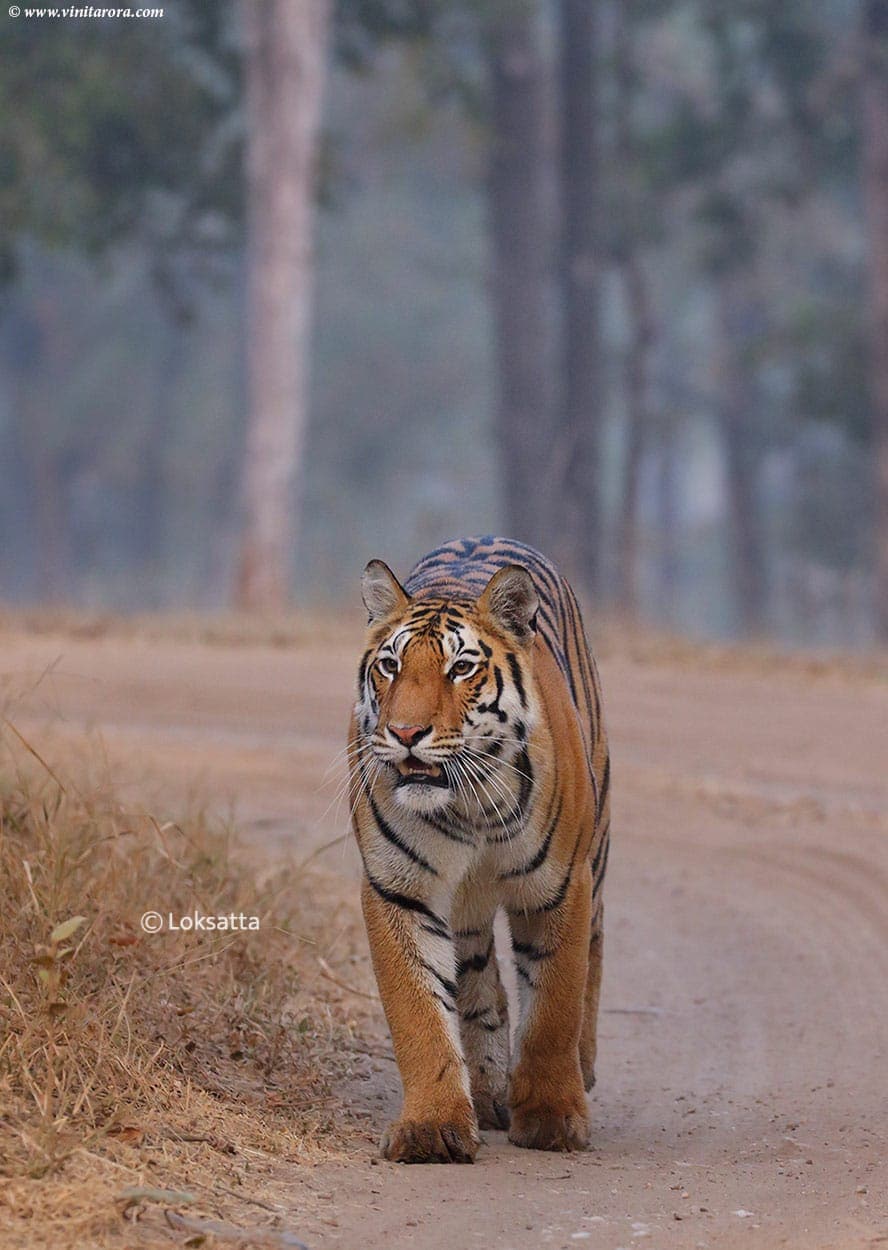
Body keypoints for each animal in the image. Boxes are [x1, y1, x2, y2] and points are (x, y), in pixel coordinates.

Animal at [347, 535, 612, 1160]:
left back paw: (582, 1070)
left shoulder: (558, 886)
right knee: (477, 977)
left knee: (595, 944)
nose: (405, 733)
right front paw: (432, 1127)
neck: (468, 805)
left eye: (461, 667)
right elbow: (419, 1012)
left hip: (598, 845)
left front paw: (551, 1119)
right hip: (465, 907)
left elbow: (554, 1007)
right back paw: (489, 1090)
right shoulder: (399, 890)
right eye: (390, 666)